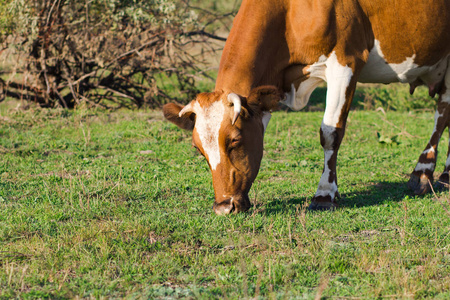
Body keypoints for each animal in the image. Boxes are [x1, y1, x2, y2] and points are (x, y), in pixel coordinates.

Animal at [163, 0, 448, 213]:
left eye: (235, 140)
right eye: (198, 148)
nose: (224, 207)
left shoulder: (345, 62)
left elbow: (330, 132)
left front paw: (325, 194)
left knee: (442, 115)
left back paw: (424, 173)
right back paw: (444, 175)